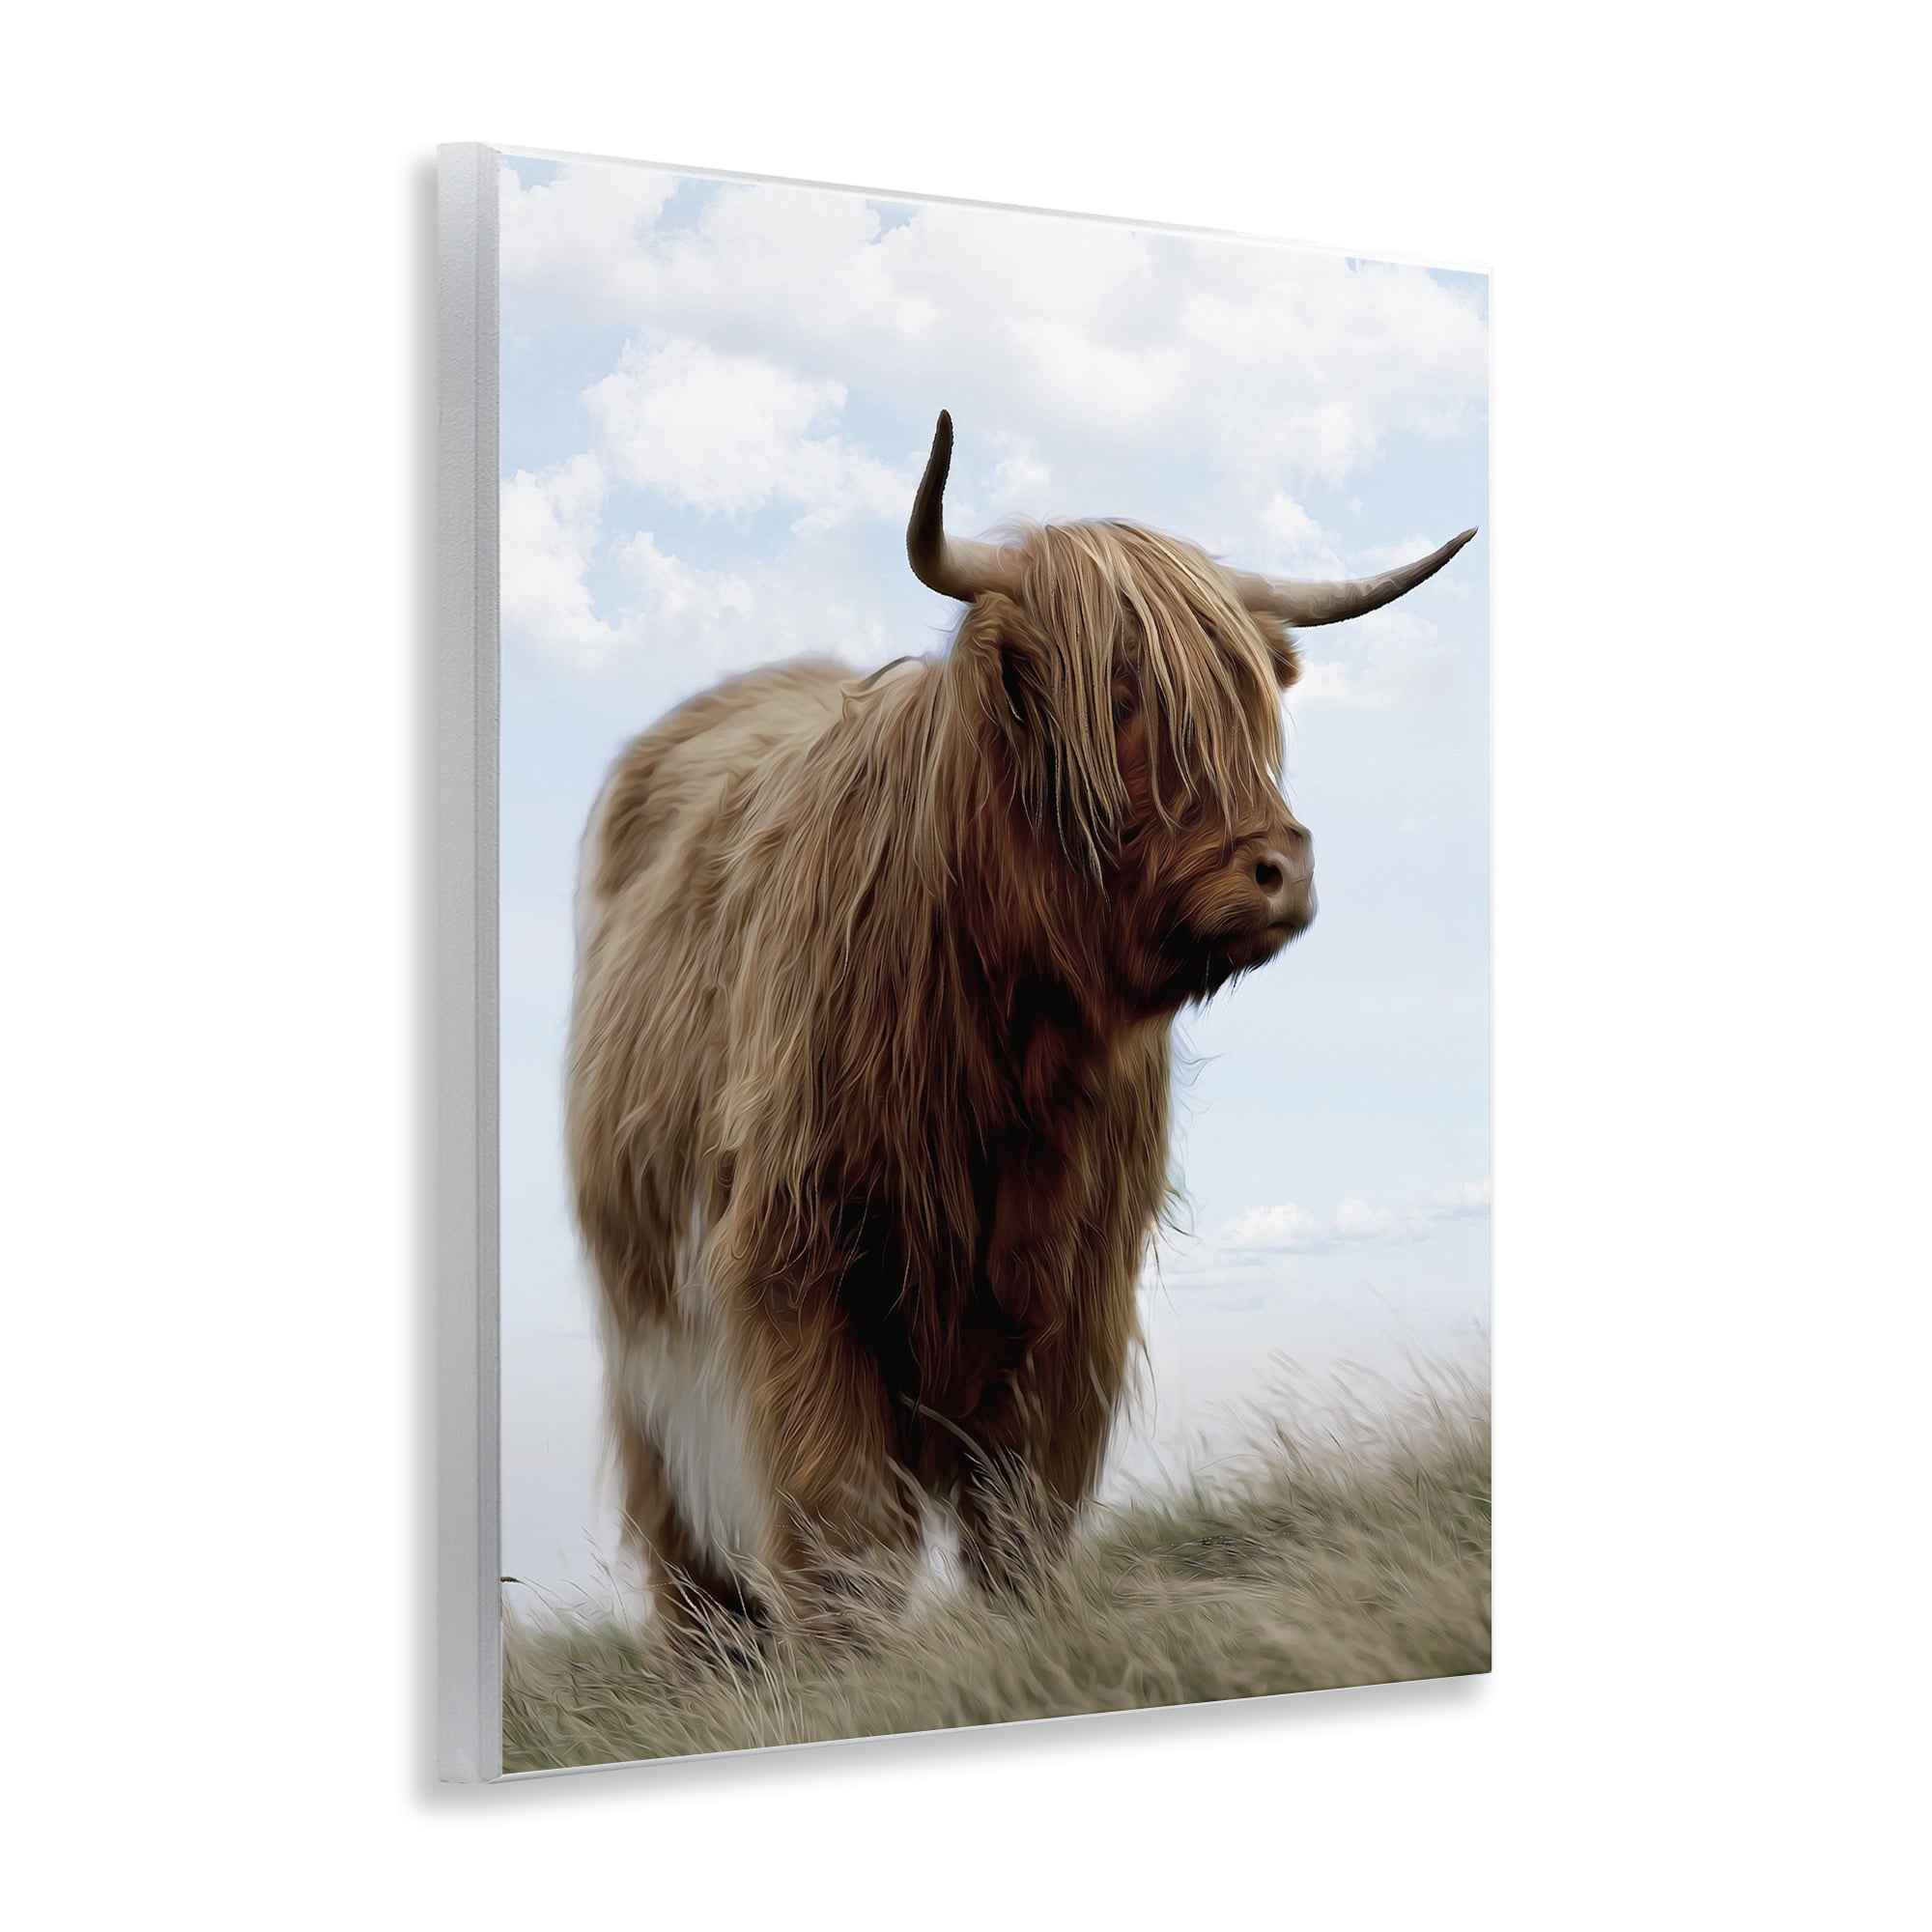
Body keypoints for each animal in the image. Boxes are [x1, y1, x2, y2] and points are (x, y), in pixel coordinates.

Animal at [566, 412, 1474, 1634]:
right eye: (1120, 694)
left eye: (1248, 704)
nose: (1280, 867)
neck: (1007, 1037)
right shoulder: (798, 1257)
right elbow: (836, 1509)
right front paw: (849, 1653)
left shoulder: (1074, 1288)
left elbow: (1022, 1507)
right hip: (649, 1327)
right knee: (685, 1533)